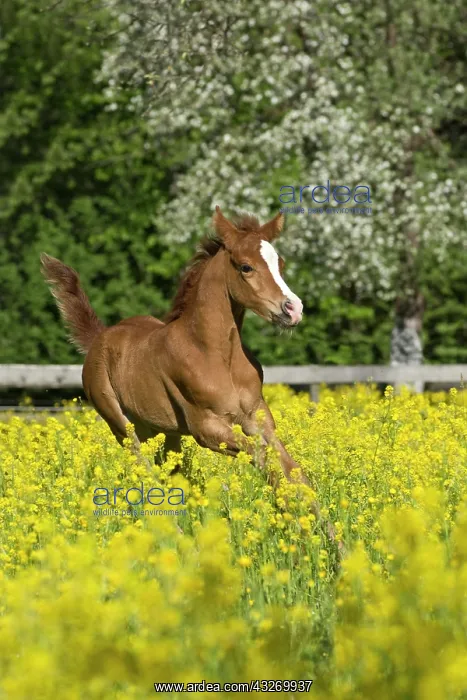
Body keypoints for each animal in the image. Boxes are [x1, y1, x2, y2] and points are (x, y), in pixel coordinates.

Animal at [41, 207, 312, 492]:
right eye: (246, 267)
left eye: (280, 264)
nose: (293, 309)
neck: (217, 355)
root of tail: (98, 338)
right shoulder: (206, 428)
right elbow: (261, 457)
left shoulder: (257, 417)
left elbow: (291, 468)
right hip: (121, 425)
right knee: (143, 468)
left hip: (164, 430)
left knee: (167, 470)